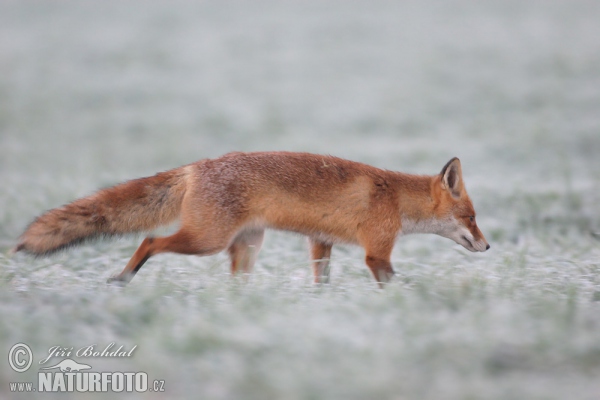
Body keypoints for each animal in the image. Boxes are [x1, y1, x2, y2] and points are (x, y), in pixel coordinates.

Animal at [14, 152, 490, 286]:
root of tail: (196, 167)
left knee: (235, 285)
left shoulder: (320, 242)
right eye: (470, 217)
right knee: (149, 241)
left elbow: (321, 282)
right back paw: (123, 278)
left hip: (247, 246)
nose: (488, 246)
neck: (395, 199)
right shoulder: (376, 252)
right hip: (205, 240)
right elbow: (393, 282)